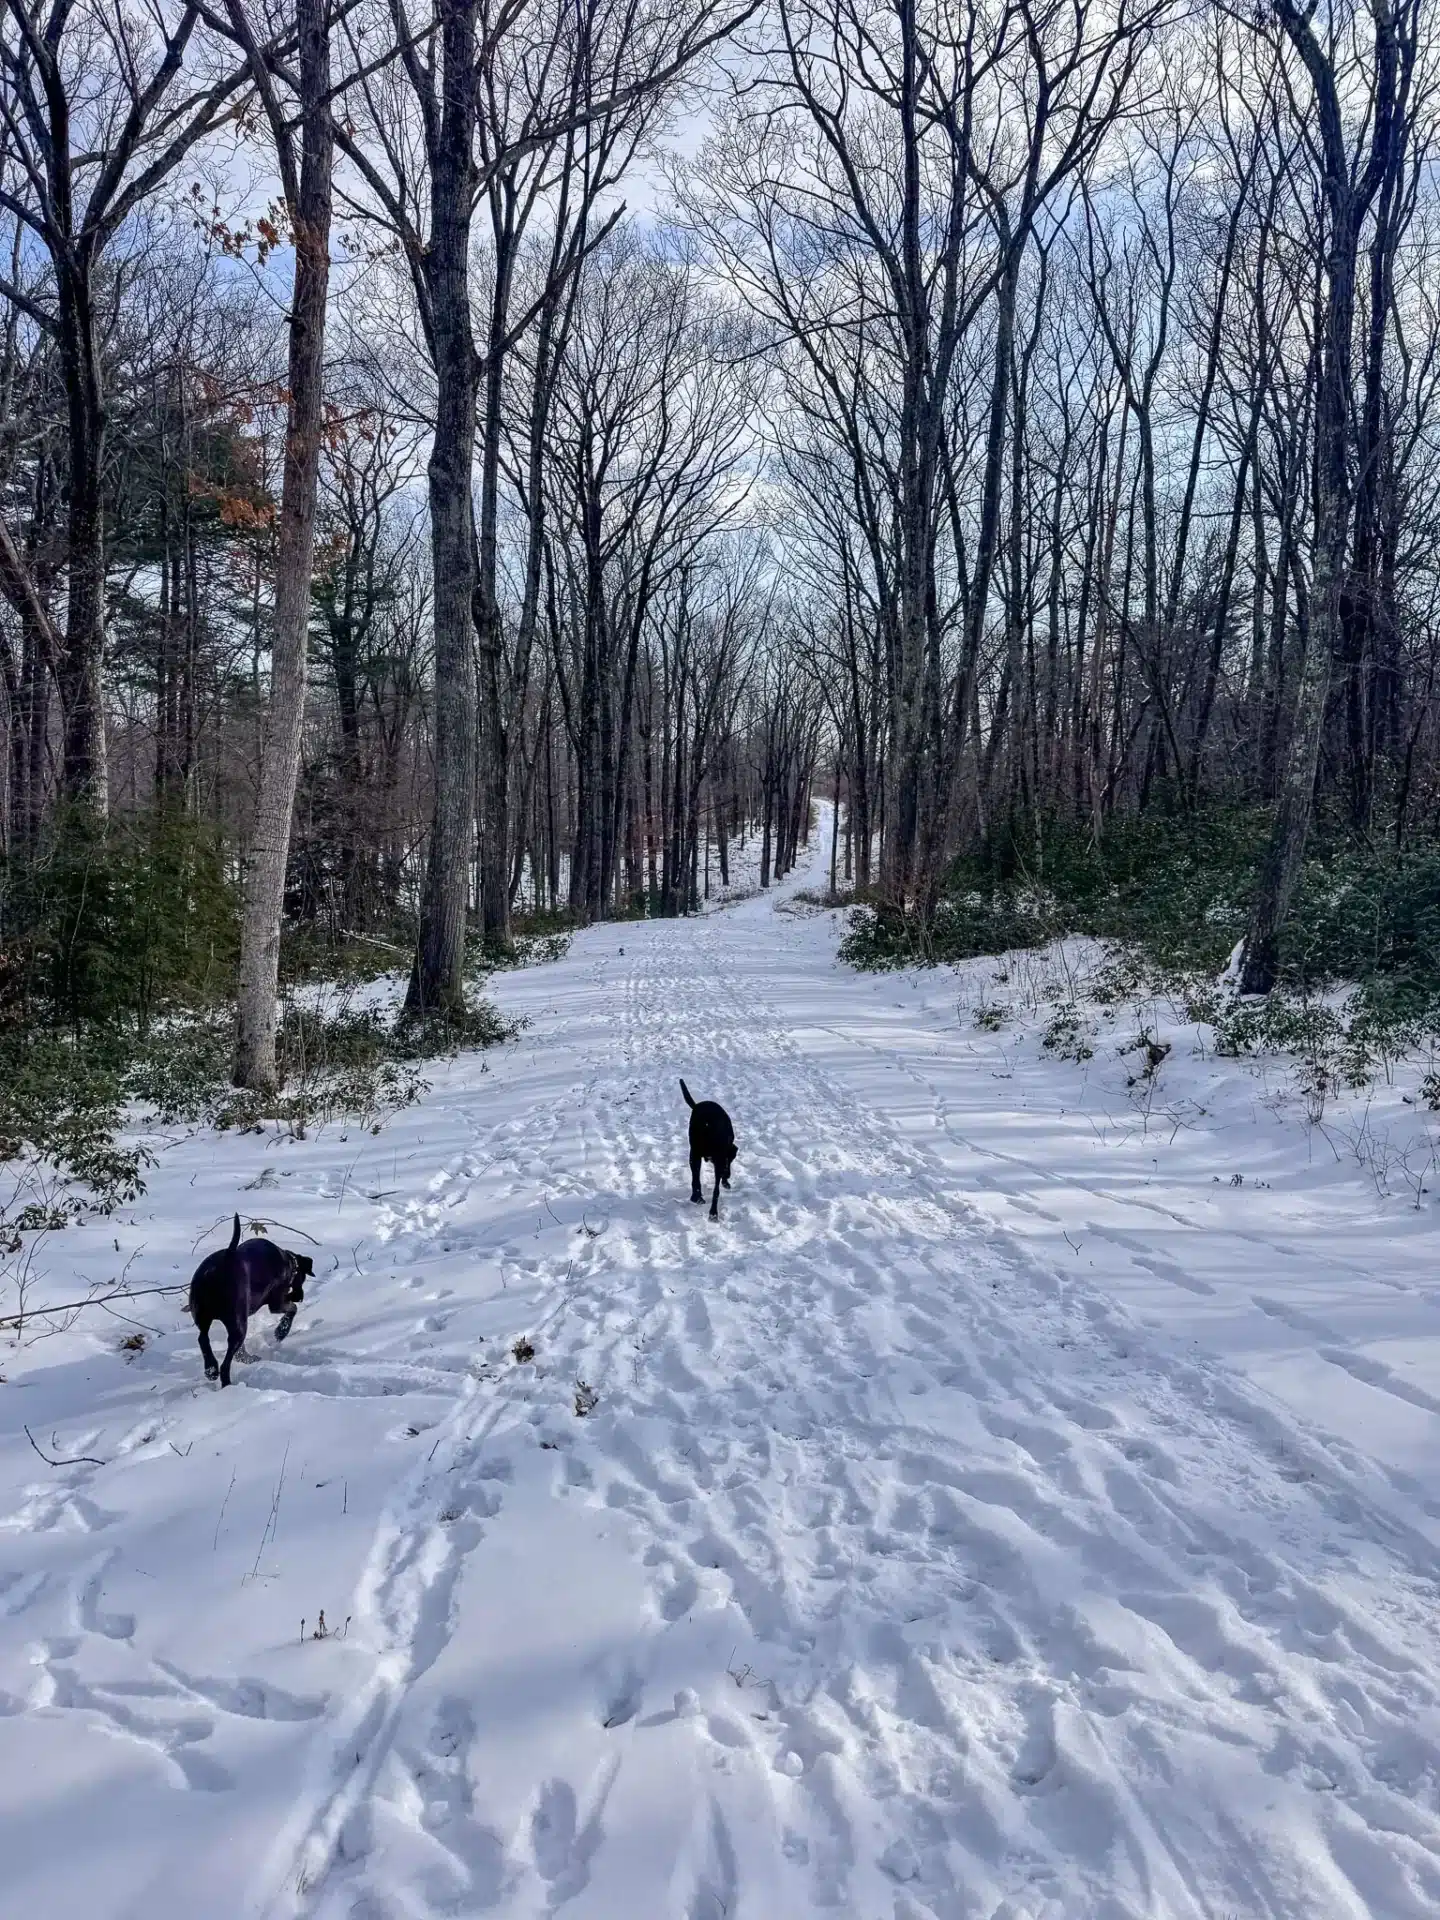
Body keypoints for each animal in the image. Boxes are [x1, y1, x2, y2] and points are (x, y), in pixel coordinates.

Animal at [187, 1205, 311, 1390]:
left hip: (206, 1317)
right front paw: (281, 1331)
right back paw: (226, 1381)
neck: (289, 1263)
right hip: (238, 1322)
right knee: (226, 1362)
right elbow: (292, 1309)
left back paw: (211, 1369)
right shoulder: (276, 1302)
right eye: (302, 1279)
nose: (300, 1296)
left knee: (204, 1339)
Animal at [683, 1075, 737, 1221]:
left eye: (732, 1160)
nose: (728, 1175)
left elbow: (713, 1189)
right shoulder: (697, 1157)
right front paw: (697, 1197)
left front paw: (712, 1211)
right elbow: (697, 1180)